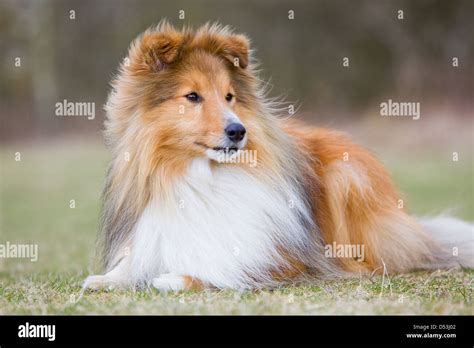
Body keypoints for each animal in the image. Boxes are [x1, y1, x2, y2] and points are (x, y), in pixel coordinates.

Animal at [83, 20, 472, 290]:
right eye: (192, 96)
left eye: (229, 96)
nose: (238, 131)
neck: (201, 177)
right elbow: (133, 262)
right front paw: (106, 279)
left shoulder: (282, 257)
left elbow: (230, 266)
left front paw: (179, 277)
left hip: (347, 178)